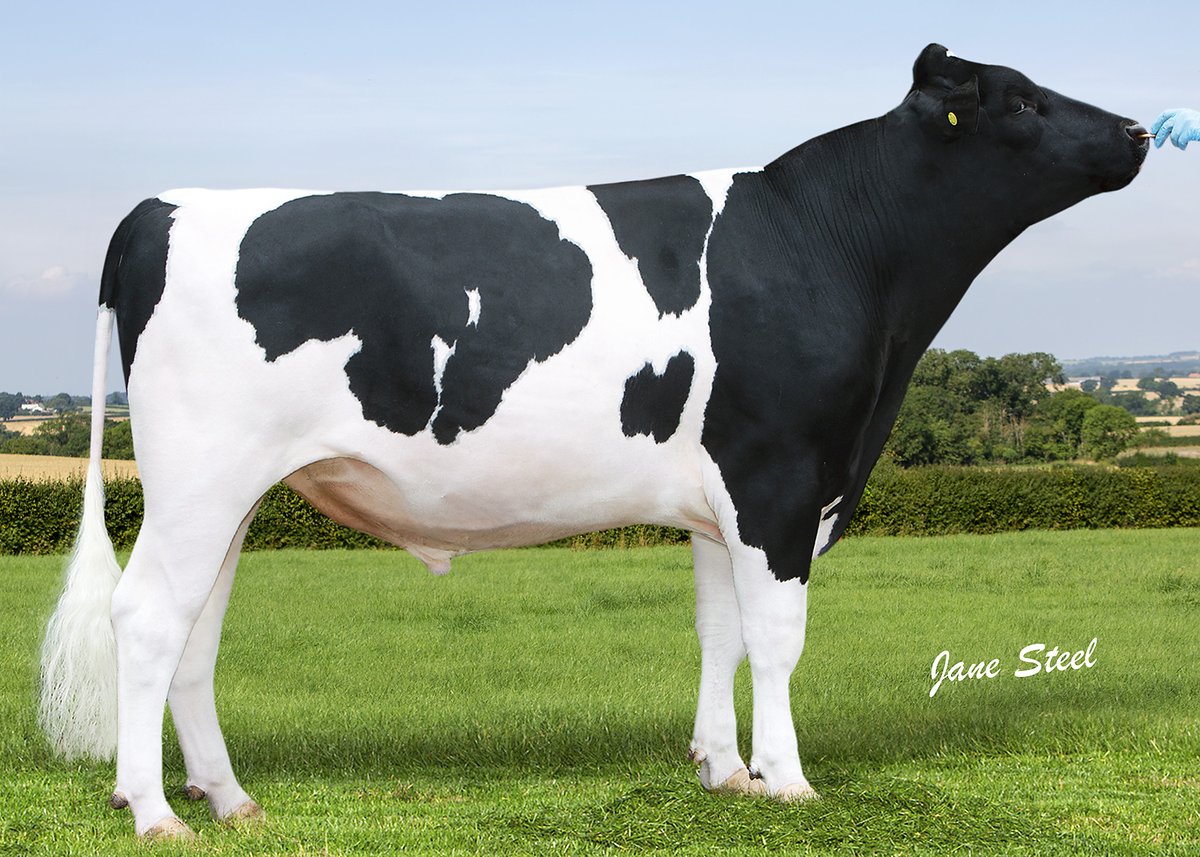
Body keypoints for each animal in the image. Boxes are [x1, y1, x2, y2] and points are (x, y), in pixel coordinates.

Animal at [39, 44, 1148, 839]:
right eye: (1020, 102)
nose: (1140, 128)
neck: (832, 246)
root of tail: (162, 204)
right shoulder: (781, 478)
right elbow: (778, 637)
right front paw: (790, 779)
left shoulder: (722, 499)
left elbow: (719, 630)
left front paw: (725, 769)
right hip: (200, 477)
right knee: (146, 617)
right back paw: (154, 810)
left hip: (228, 492)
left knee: (194, 630)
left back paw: (229, 798)